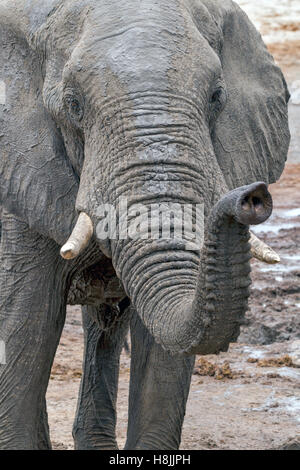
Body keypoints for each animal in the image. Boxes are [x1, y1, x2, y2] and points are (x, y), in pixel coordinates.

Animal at [0, 0, 290, 450]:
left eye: (217, 96)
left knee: (105, 324)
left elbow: (162, 352)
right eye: (73, 105)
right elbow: (27, 324)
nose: (252, 197)